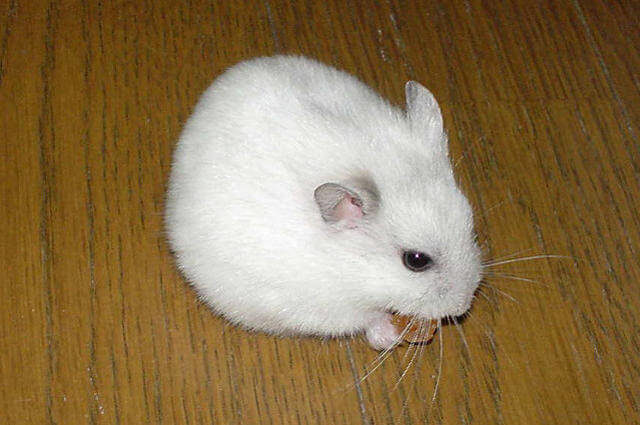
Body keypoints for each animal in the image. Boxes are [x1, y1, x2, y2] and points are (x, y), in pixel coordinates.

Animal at [165, 55, 481, 350]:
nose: (465, 305)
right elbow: (368, 319)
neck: (350, 266)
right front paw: (390, 335)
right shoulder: (327, 308)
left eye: (471, 227)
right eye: (416, 260)